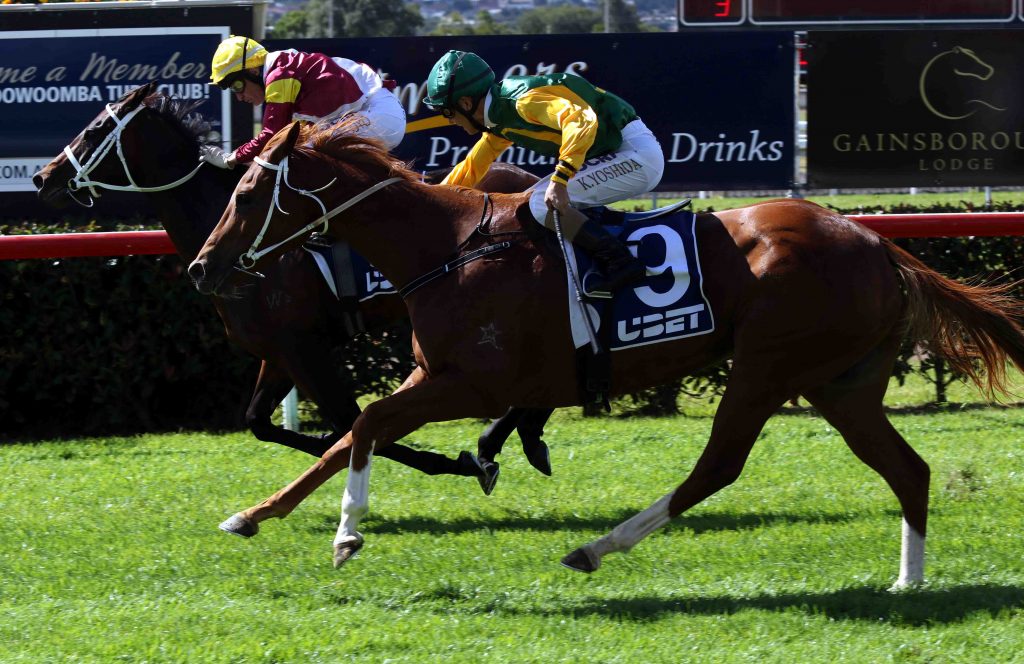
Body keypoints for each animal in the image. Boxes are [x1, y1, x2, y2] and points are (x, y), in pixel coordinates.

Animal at [32, 81, 552, 492]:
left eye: (95, 129)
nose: (42, 176)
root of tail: (532, 180)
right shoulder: (278, 351)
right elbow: (261, 423)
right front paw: (322, 440)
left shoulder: (305, 347)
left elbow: (352, 420)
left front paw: (455, 462)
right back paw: (519, 436)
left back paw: (504, 439)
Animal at [188, 120, 1024, 585]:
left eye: (248, 195)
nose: (202, 267)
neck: (447, 249)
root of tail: (878, 242)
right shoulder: (433, 375)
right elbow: (343, 440)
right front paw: (252, 516)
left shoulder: (472, 385)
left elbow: (361, 427)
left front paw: (347, 536)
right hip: (839, 381)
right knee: (907, 470)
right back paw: (908, 583)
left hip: (770, 363)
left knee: (718, 467)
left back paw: (596, 548)